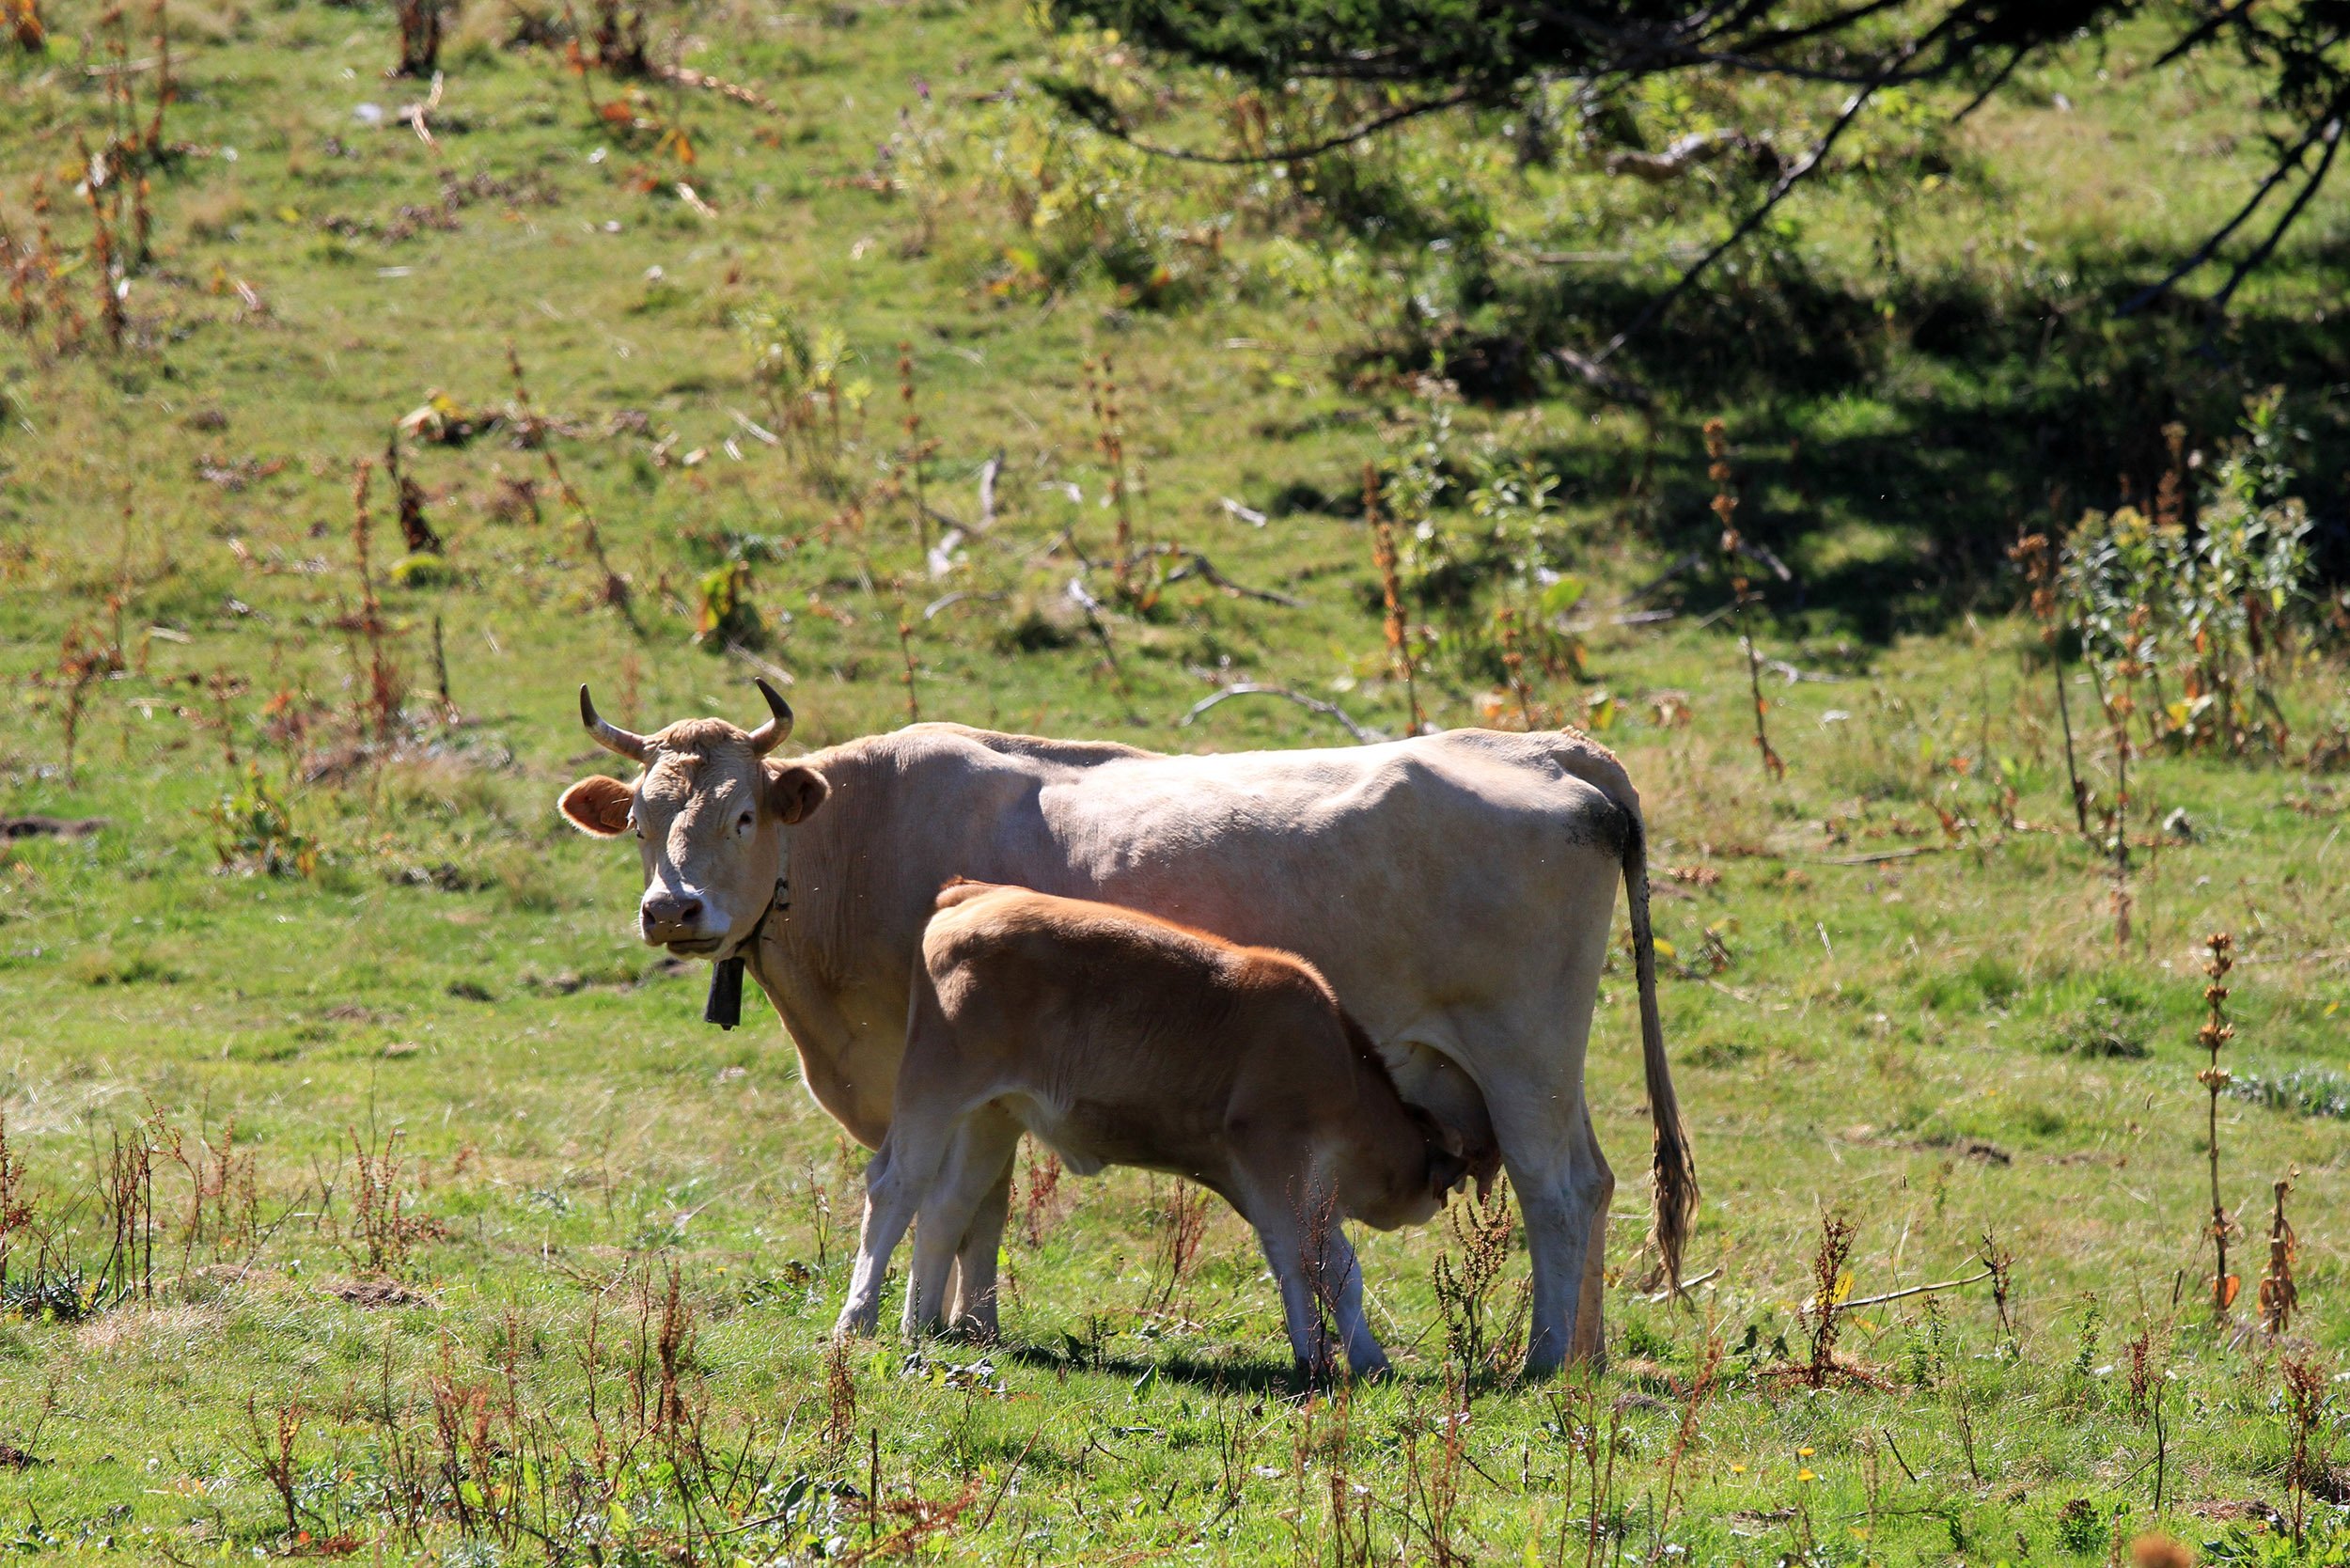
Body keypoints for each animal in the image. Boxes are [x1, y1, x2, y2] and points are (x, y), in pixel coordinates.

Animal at [832, 888, 1485, 1382]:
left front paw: (1349, 1360)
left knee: (948, 1205)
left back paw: (922, 1324)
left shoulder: (1288, 1185)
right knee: (897, 1186)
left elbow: (1320, 1264)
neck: (1335, 1060)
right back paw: (859, 1319)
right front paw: (1328, 1360)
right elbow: (1311, 1261)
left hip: (991, 1113)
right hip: (935, 1088)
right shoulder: (1276, 1157)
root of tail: (971, 895)